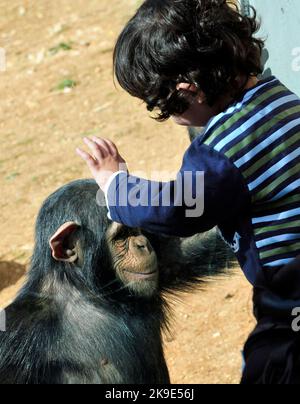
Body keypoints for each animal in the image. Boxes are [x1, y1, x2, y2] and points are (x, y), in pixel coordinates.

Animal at [0, 181, 236, 386]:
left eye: (136, 228)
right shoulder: (16, 333)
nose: (143, 244)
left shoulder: (165, 260)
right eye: (122, 235)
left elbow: (195, 243)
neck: (89, 292)